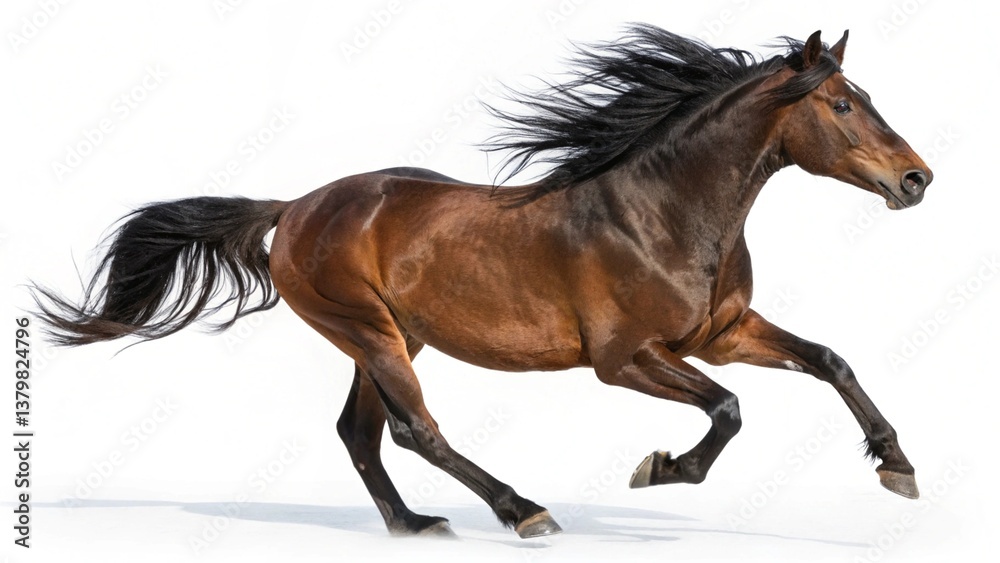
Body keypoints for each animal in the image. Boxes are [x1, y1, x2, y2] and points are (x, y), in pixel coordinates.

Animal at [31, 26, 932, 539]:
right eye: (844, 104)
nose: (918, 179)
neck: (663, 209)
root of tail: (295, 207)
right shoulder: (626, 358)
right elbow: (730, 409)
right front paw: (659, 467)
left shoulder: (721, 332)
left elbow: (830, 359)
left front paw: (898, 466)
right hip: (368, 329)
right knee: (413, 430)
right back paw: (521, 509)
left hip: (395, 334)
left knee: (361, 432)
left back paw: (414, 523)